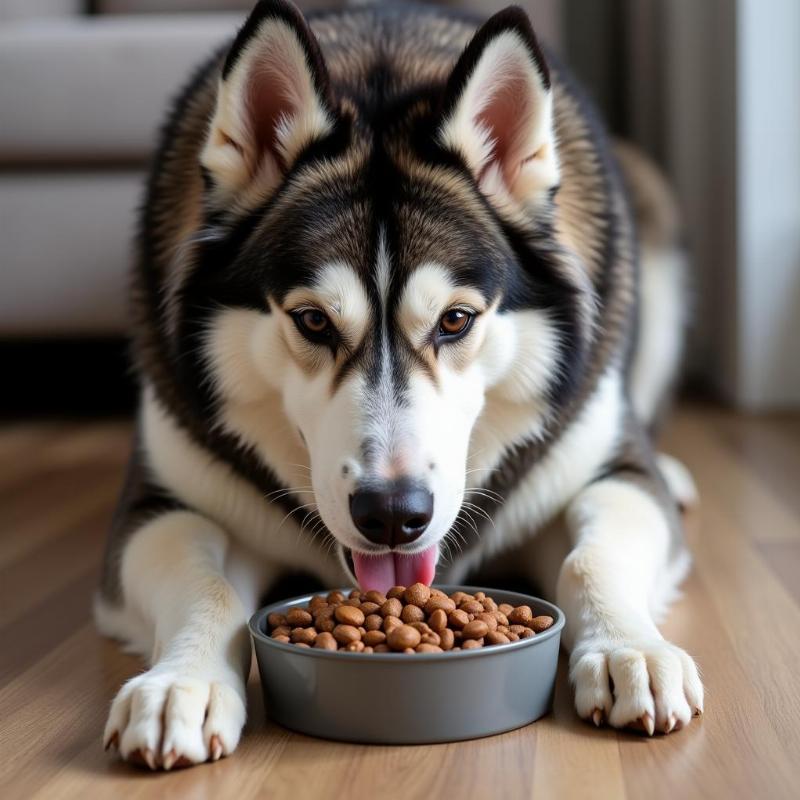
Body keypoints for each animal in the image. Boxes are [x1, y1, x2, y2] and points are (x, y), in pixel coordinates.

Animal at [97, 0, 704, 764]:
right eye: (313, 321)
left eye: (455, 320)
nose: (392, 515)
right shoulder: (158, 503)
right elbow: (206, 585)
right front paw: (182, 682)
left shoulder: (609, 471)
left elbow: (592, 558)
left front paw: (633, 652)